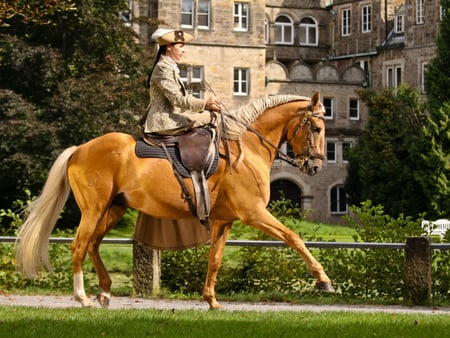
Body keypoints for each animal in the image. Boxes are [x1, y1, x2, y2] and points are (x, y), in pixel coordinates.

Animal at [15, 91, 334, 308]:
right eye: (317, 129)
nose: (315, 166)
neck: (246, 149)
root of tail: (80, 149)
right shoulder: (253, 213)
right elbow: (294, 238)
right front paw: (323, 280)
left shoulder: (224, 220)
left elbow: (215, 259)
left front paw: (211, 299)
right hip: (93, 209)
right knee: (79, 246)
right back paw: (82, 297)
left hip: (113, 209)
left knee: (93, 244)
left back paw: (104, 291)